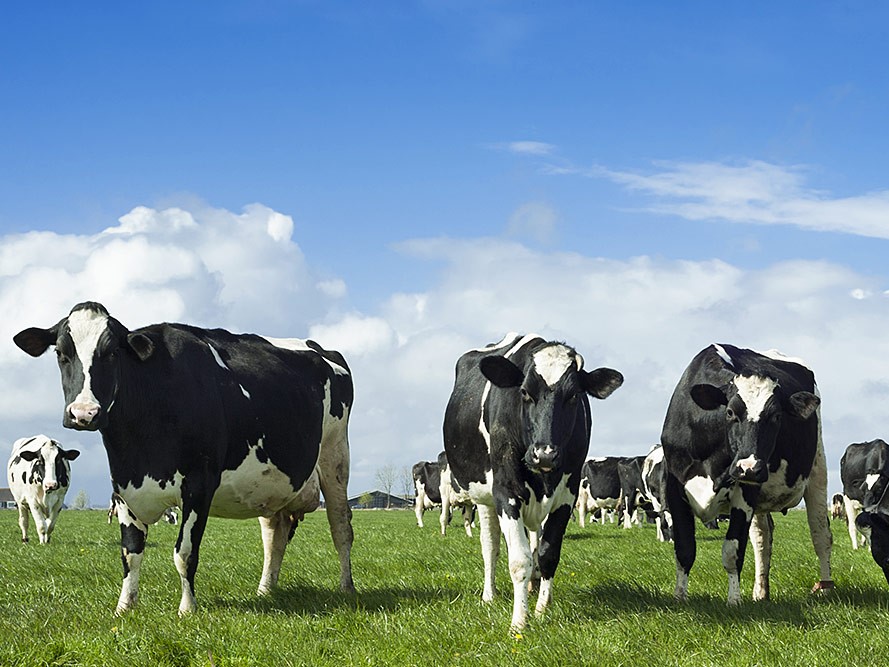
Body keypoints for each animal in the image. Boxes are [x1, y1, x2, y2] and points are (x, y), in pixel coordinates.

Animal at [13, 301, 355, 615]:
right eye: (61, 353)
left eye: (111, 353)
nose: (84, 414)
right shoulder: (122, 487)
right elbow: (130, 552)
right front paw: (124, 607)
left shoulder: (199, 484)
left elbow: (185, 553)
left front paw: (187, 608)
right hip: (271, 482)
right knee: (275, 535)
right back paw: (265, 589)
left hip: (335, 456)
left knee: (341, 528)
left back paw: (346, 587)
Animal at [443, 332, 623, 630]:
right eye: (525, 392)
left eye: (574, 395)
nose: (544, 453)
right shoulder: (506, 492)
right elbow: (518, 560)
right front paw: (519, 622)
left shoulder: (567, 496)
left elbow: (548, 554)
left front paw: (540, 610)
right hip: (483, 497)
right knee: (490, 545)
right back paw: (490, 595)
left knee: (535, 539)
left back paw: (534, 586)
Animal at [661, 343, 833, 605]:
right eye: (731, 412)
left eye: (776, 416)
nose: (749, 466)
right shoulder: (675, 488)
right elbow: (685, 549)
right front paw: (680, 597)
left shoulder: (745, 493)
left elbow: (732, 552)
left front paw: (734, 601)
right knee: (762, 538)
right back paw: (760, 592)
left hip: (817, 470)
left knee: (821, 534)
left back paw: (825, 588)